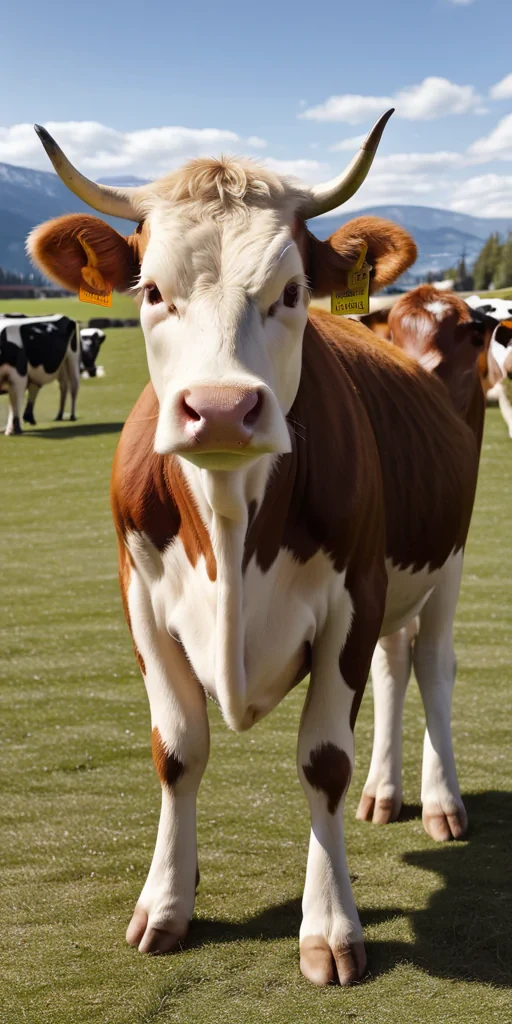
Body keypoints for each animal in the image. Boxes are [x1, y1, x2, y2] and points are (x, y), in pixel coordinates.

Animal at [29, 111, 483, 987]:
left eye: (292, 292)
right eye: (151, 292)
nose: (220, 408)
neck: (230, 518)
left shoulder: (353, 595)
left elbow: (323, 762)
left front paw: (331, 927)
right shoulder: (139, 599)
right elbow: (177, 751)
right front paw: (167, 900)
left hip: (443, 564)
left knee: (433, 669)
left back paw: (440, 802)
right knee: (393, 666)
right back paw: (385, 796)